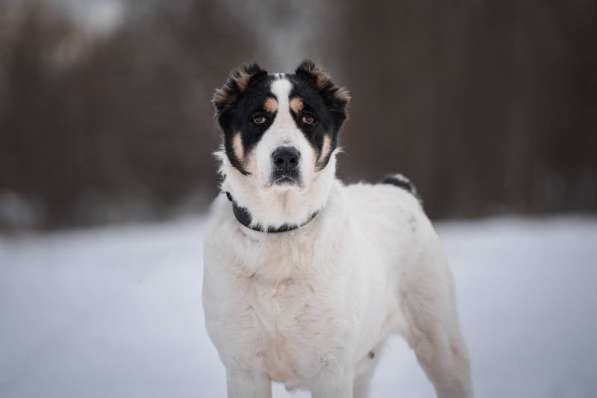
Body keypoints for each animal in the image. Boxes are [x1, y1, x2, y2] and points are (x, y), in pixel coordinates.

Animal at [203, 59, 472, 398]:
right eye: (258, 118)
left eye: (308, 118)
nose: (286, 157)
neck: (281, 232)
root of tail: (398, 188)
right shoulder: (244, 368)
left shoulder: (330, 368)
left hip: (441, 345)